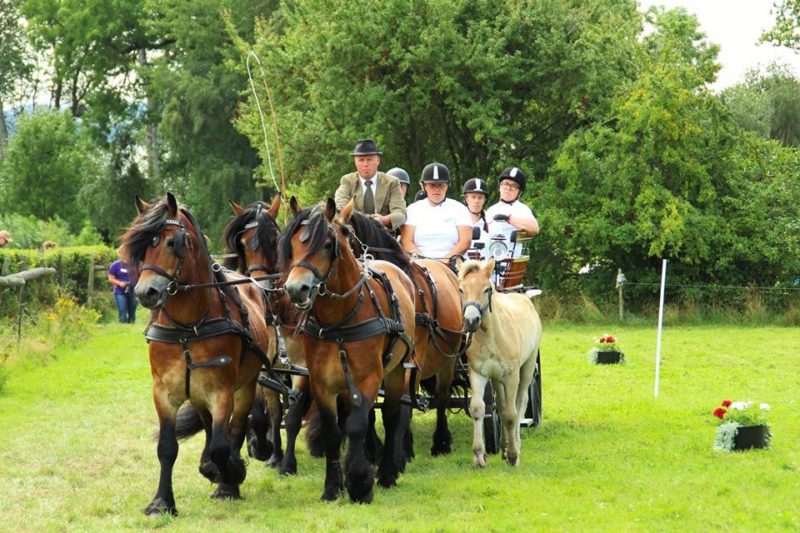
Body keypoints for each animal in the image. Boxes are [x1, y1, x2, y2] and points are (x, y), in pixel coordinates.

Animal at [122, 193, 276, 512]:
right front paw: (162, 502)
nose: (145, 293)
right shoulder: (164, 392)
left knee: (237, 427)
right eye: (142, 247)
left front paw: (230, 476)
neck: (187, 327)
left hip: (246, 384)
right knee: (209, 427)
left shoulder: (221, 390)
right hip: (198, 393)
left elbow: (222, 444)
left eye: (172, 242)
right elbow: (167, 448)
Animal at [225, 196, 316, 474]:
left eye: (274, 239)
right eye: (243, 243)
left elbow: (294, 416)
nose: (260, 287)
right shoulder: (267, 368)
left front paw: (287, 463)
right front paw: (274, 454)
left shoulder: (303, 368)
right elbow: (275, 412)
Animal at [280, 197, 416, 500]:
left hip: (396, 371)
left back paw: (387, 472)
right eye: (291, 243)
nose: (296, 289)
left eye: (327, 243)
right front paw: (332, 487)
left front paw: (359, 482)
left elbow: (356, 424)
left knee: (391, 416)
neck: (339, 319)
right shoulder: (321, 382)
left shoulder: (369, 378)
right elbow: (334, 430)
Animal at [342, 206, 466, 456]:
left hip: (448, 359)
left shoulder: (411, 358)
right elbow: (370, 405)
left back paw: (441, 441)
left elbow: (404, 401)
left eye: (344, 234)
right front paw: (373, 448)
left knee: (441, 397)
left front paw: (403, 447)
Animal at [456, 258, 544, 466]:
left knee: (520, 403)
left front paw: (513, 455)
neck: (492, 337)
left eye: (487, 289)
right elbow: (479, 409)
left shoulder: (511, 376)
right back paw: (504, 445)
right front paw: (479, 455)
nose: (471, 320)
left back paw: (515, 444)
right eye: (461, 289)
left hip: (527, 368)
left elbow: (511, 414)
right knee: (502, 407)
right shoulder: (478, 374)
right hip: (497, 379)